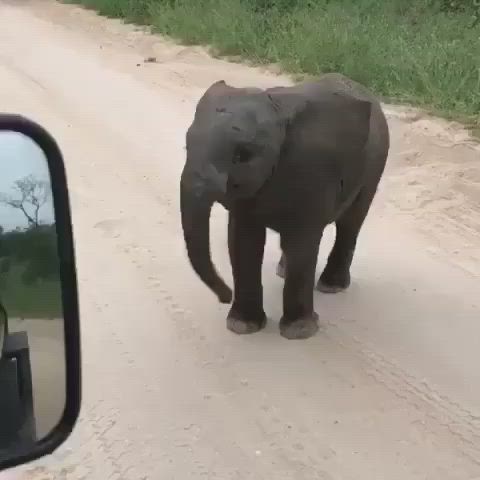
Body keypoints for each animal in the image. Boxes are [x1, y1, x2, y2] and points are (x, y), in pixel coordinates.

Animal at [180, 72, 390, 342]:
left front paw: (299, 332)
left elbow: (301, 243)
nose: (224, 297)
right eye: (187, 146)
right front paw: (242, 326)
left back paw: (331, 286)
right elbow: (242, 241)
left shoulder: (312, 170)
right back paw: (283, 271)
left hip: (374, 165)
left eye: (242, 155)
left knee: (350, 223)